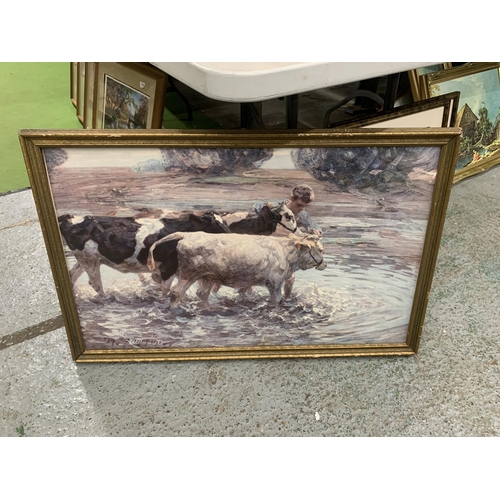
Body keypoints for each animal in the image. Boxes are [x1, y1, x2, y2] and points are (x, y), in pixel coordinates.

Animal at [59, 211, 230, 296]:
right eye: (216, 226)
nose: (232, 235)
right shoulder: (168, 268)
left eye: (225, 223)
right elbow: (166, 290)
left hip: (86, 259)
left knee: (73, 275)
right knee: (95, 284)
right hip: (88, 259)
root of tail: (71, 217)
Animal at [147, 232, 328, 306]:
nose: (324, 264)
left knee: (201, 294)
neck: (285, 252)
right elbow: (277, 301)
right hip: (188, 275)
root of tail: (186, 234)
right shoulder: (275, 283)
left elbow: (243, 294)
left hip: (207, 276)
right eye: (320, 249)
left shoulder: (248, 282)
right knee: (176, 293)